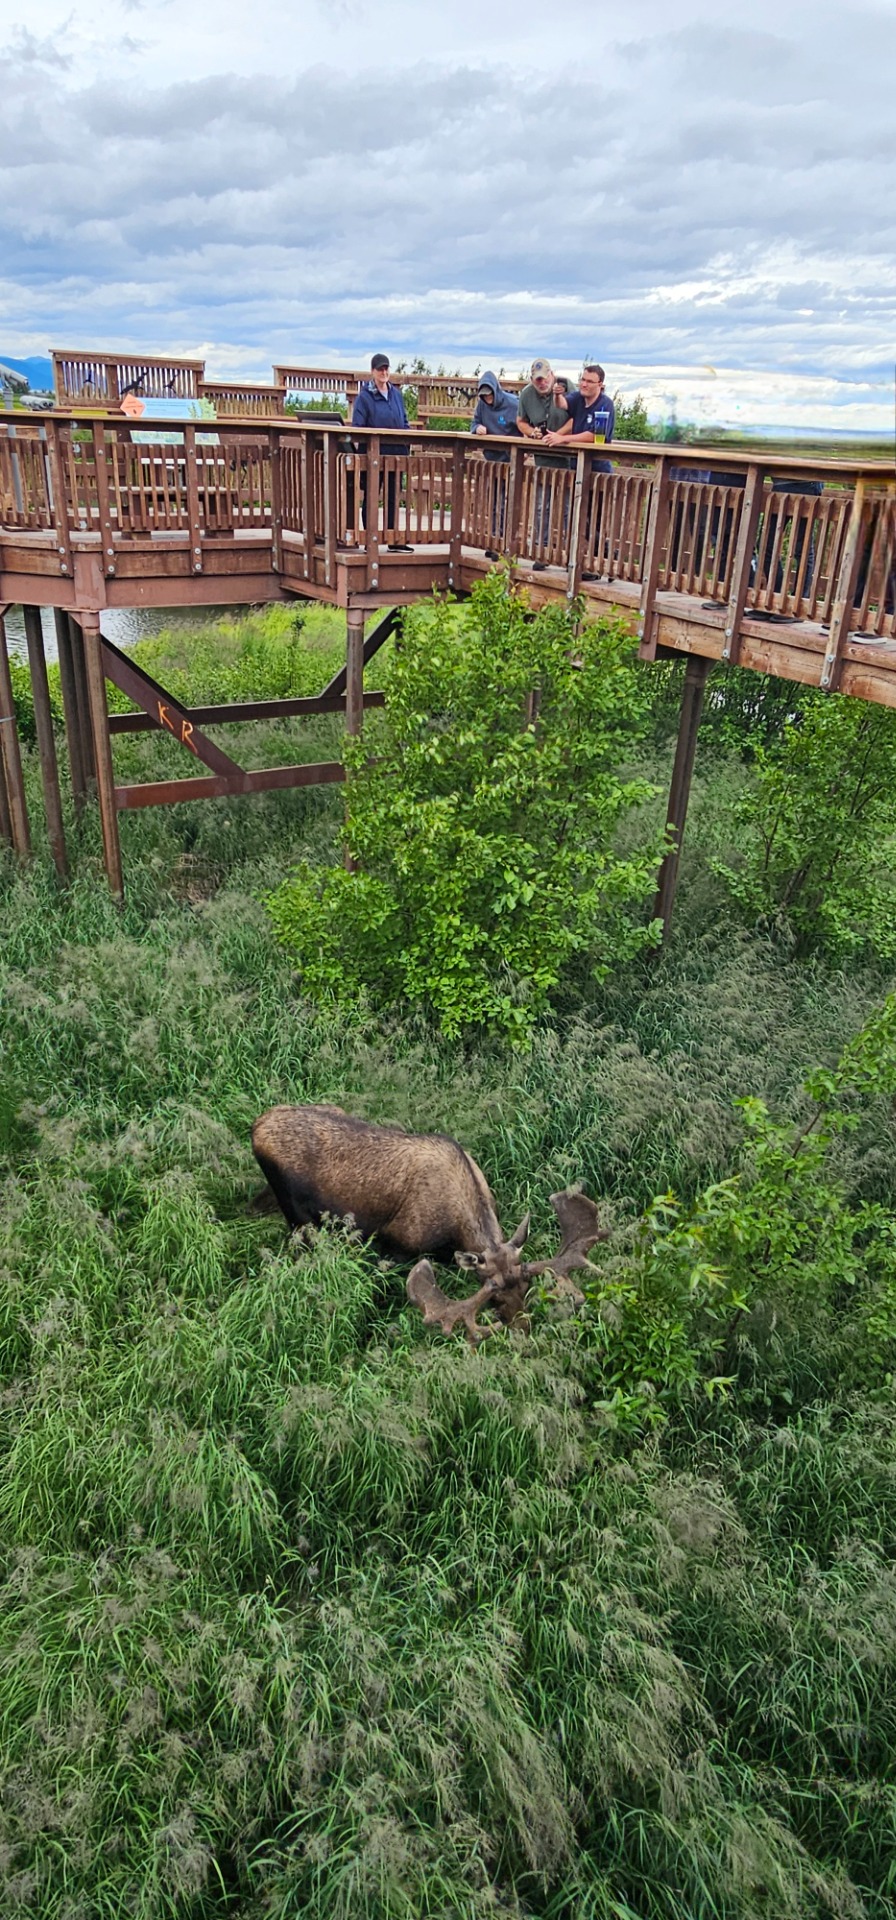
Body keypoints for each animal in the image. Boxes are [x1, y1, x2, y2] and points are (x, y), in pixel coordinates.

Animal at [251, 1104, 606, 1344]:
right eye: (493, 1298)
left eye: (526, 1286)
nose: (523, 1329)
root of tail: (255, 1126)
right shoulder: (395, 1247)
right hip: (298, 1219)